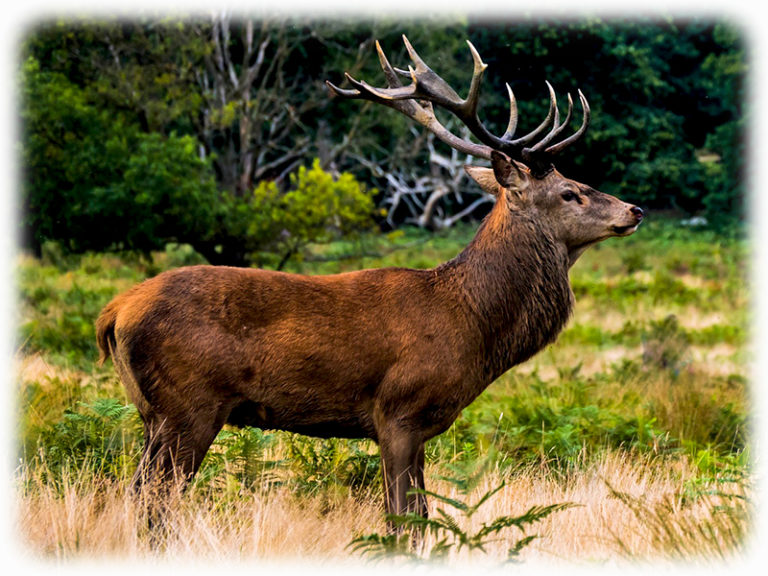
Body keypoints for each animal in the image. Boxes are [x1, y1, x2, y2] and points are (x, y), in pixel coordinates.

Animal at [96, 35, 643, 528]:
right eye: (570, 191)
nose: (634, 210)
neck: (471, 324)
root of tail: (114, 312)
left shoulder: (419, 427)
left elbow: (421, 516)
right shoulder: (397, 411)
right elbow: (403, 519)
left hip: (153, 414)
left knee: (137, 494)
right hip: (189, 405)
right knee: (154, 501)